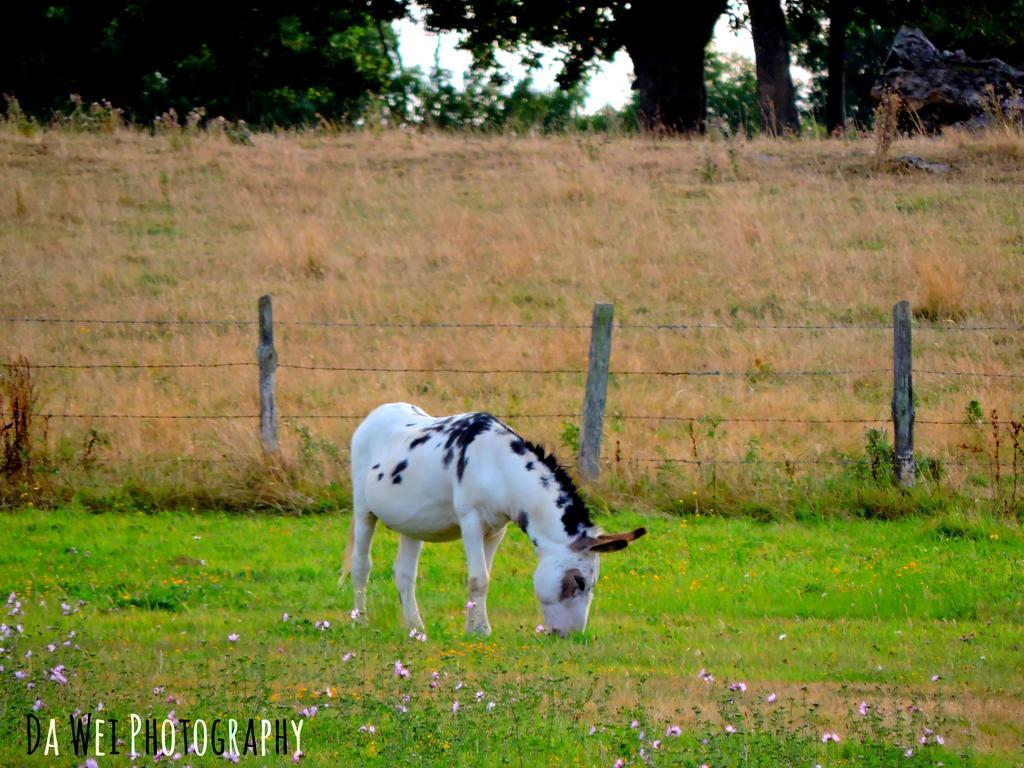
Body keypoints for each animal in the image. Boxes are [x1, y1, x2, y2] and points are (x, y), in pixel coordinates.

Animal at [339, 403, 643, 638]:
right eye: (578, 582)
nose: (573, 636)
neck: (498, 466)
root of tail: (376, 413)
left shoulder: (496, 530)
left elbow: (484, 577)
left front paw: (472, 629)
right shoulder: (470, 521)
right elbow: (478, 579)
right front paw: (482, 631)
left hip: (412, 523)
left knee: (404, 574)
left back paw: (416, 629)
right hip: (364, 510)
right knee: (361, 566)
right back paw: (360, 621)